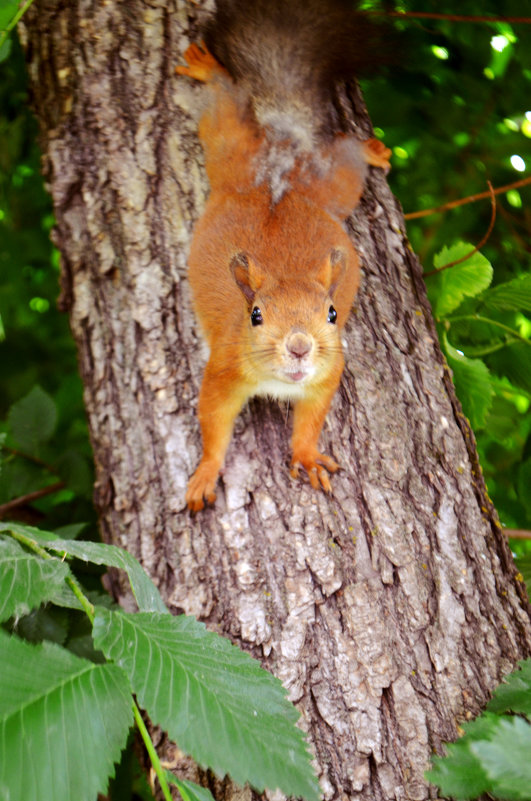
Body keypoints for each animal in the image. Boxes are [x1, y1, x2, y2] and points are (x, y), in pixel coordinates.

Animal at [178, 1, 390, 512]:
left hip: (332, 183)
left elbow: (311, 420)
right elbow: (213, 423)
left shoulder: (329, 372)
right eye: (255, 314)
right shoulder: (223, 370)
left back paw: (371, 149)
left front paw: (307, 456)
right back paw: (207, 68)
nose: (299, 346)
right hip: (229, 149)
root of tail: (281, 160)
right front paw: (205, 474)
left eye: (331, 313)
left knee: (345, 157)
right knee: (226, 105)